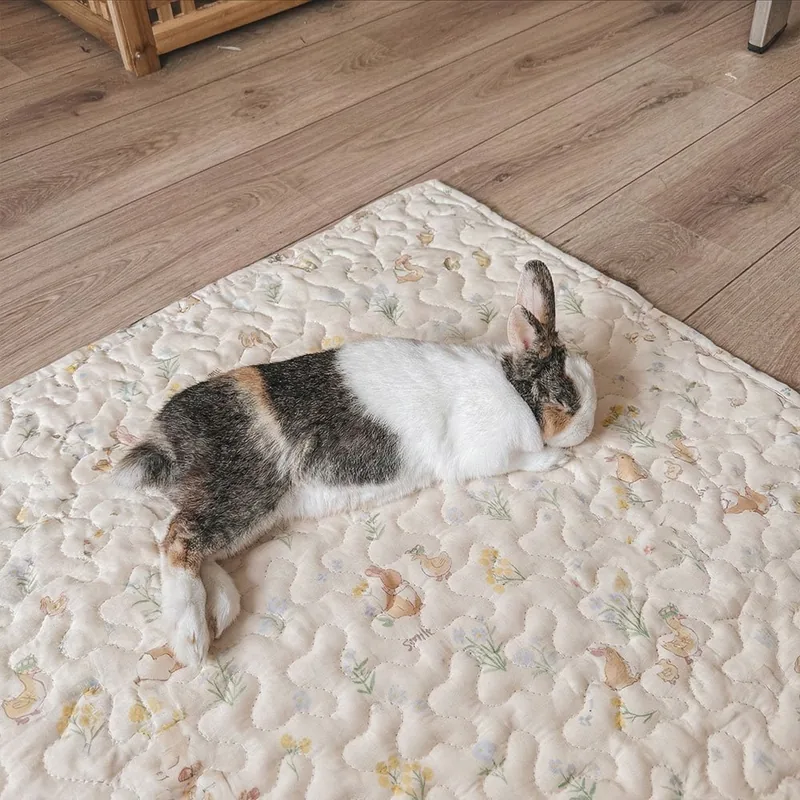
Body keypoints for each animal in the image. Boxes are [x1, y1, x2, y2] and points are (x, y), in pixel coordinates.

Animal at [117, 259, 596, 666]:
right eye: (566, 397)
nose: (589, 425)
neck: (514, 389)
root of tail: (165, 440)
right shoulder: (492, 454)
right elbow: (528, 458)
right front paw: (557, 457)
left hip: (250, 511)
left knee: (195, 544)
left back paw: (220, 607)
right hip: (243, 495)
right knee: (178, 539)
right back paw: (191, 637)